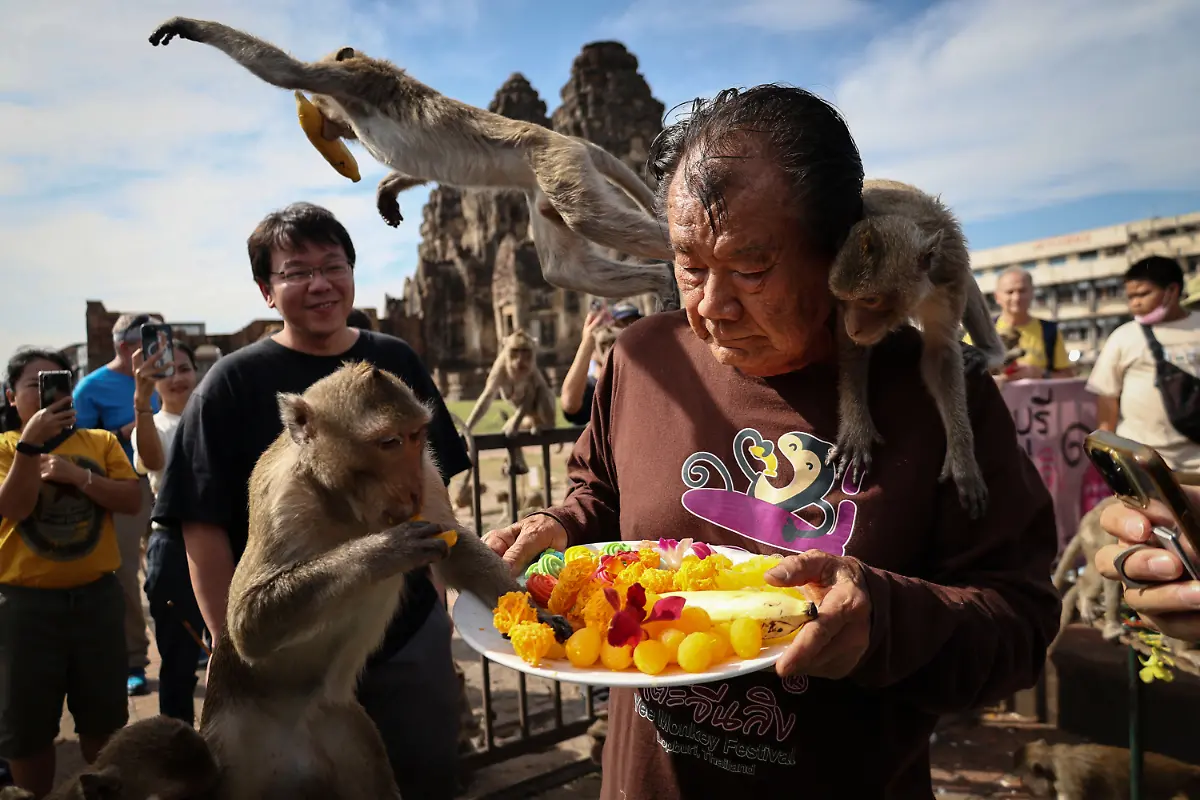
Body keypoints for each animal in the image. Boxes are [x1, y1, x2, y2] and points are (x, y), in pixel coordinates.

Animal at [147, 17, 679, 311]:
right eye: (333, 127)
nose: (331, 130)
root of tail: (572, 139)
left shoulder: (348, 77)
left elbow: (283, 70)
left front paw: (187, 26)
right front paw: (388, 191)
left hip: (558, 164)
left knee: (589, 220)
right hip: (544, 190)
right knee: (563, 270)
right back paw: (661, 282)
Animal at [462, 330, 557, 477]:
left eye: (525, 351)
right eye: (515, 350)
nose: (520, 361)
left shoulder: (531, 370)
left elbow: (531, 393)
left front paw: (512, 430)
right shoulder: (499, 365)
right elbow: (488, 395)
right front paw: (467, 427)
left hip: (549, 412)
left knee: (542, 390)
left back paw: (546, 425)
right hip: (528, 420)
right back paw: (520, 465)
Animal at [827, 178, 1006, 519]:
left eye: (870, 299)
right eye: (844, 299)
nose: (854, 326)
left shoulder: (949, 275)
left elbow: (941, 356)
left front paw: (962, 456)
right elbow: (851, 348)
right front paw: (857, 429)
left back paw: (989, 352)